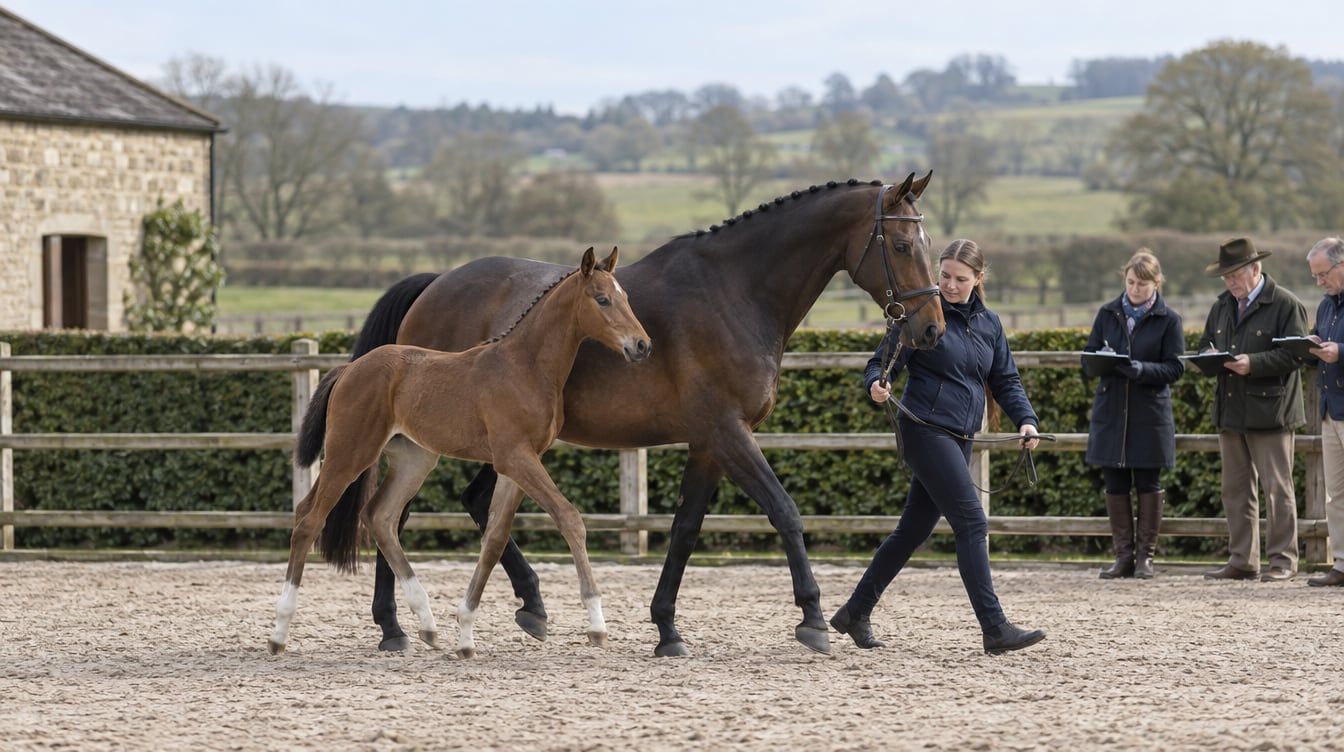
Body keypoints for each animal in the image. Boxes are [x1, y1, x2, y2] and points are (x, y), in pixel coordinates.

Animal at [267, 247, 650, 658]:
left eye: (627, 297)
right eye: (602, 299)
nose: (642, 345)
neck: (525, 367)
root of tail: (349, 368)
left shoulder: (519, 463)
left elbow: (495, 539)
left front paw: (466, 634)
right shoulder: (515, 457)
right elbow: (569, 518)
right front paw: (597, 625)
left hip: (415, 458)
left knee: (380, 517)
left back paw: (425, 623)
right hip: (349, 451)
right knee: (309, 517)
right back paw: (280, 633)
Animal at [339, 173, 944, 657]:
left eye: (928, 242)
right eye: (900, 242)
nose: (932, 327)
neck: (734, 293)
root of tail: (433, 285)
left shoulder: (708, 443)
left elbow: (685, 529)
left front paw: (667, 629)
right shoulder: (729, 433)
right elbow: (785, 512)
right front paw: (814, 619)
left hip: (493, 445)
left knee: (460, 504)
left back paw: (530, 606)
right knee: (394, 515)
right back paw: (394, 627)